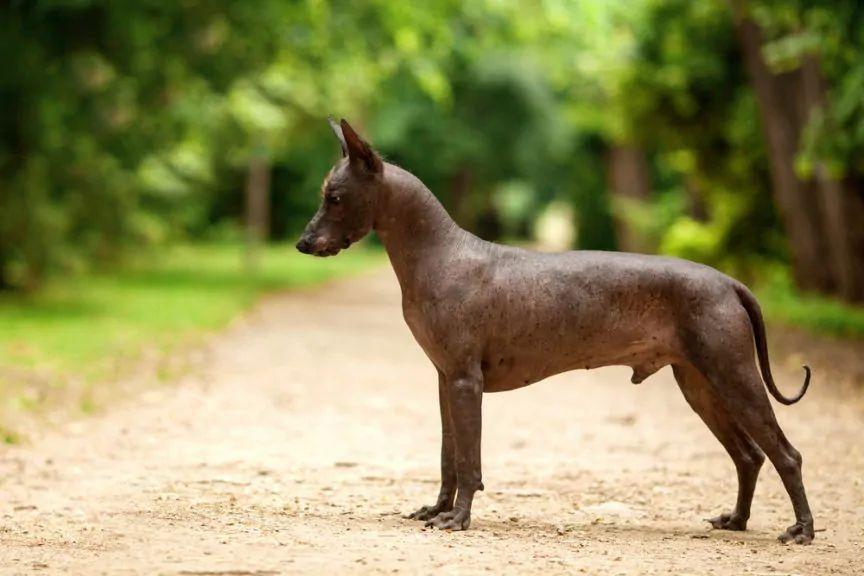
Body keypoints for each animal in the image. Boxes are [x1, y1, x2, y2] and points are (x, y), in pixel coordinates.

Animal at [296, 118, 816, 544]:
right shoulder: (445, 381)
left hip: (733, 376)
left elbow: (467, 460)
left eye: (333, 198)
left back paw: (802, 530)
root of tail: (728, 281)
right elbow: (448, 456)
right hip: (701, 386)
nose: (302, 243)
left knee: (787, 454)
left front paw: (458, 518)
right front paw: (437, 509)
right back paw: (737, 521)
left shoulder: (465, 382)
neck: (438, 253)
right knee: (749, 456)